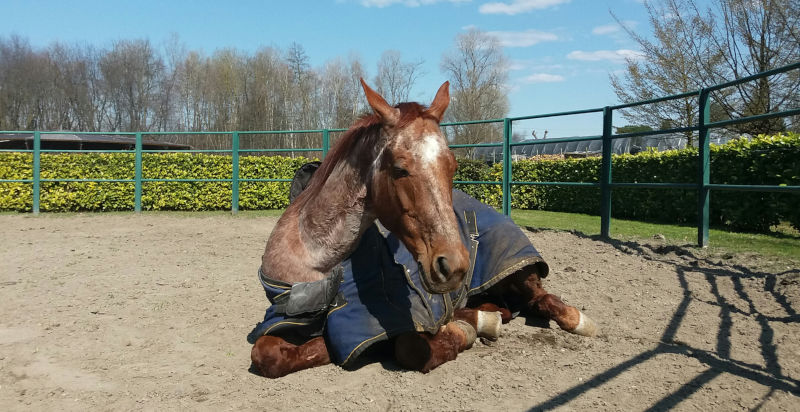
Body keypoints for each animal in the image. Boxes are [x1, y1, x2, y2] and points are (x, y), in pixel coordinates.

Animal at [250, 80, 598, 378]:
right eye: (399, 168)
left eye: (452, 166)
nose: (454, 265)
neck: (315, 266)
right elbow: (268, 353)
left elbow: (411, 348)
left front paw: (462, 331)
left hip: (518, 272)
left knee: (543, 299)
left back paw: (576, 321)